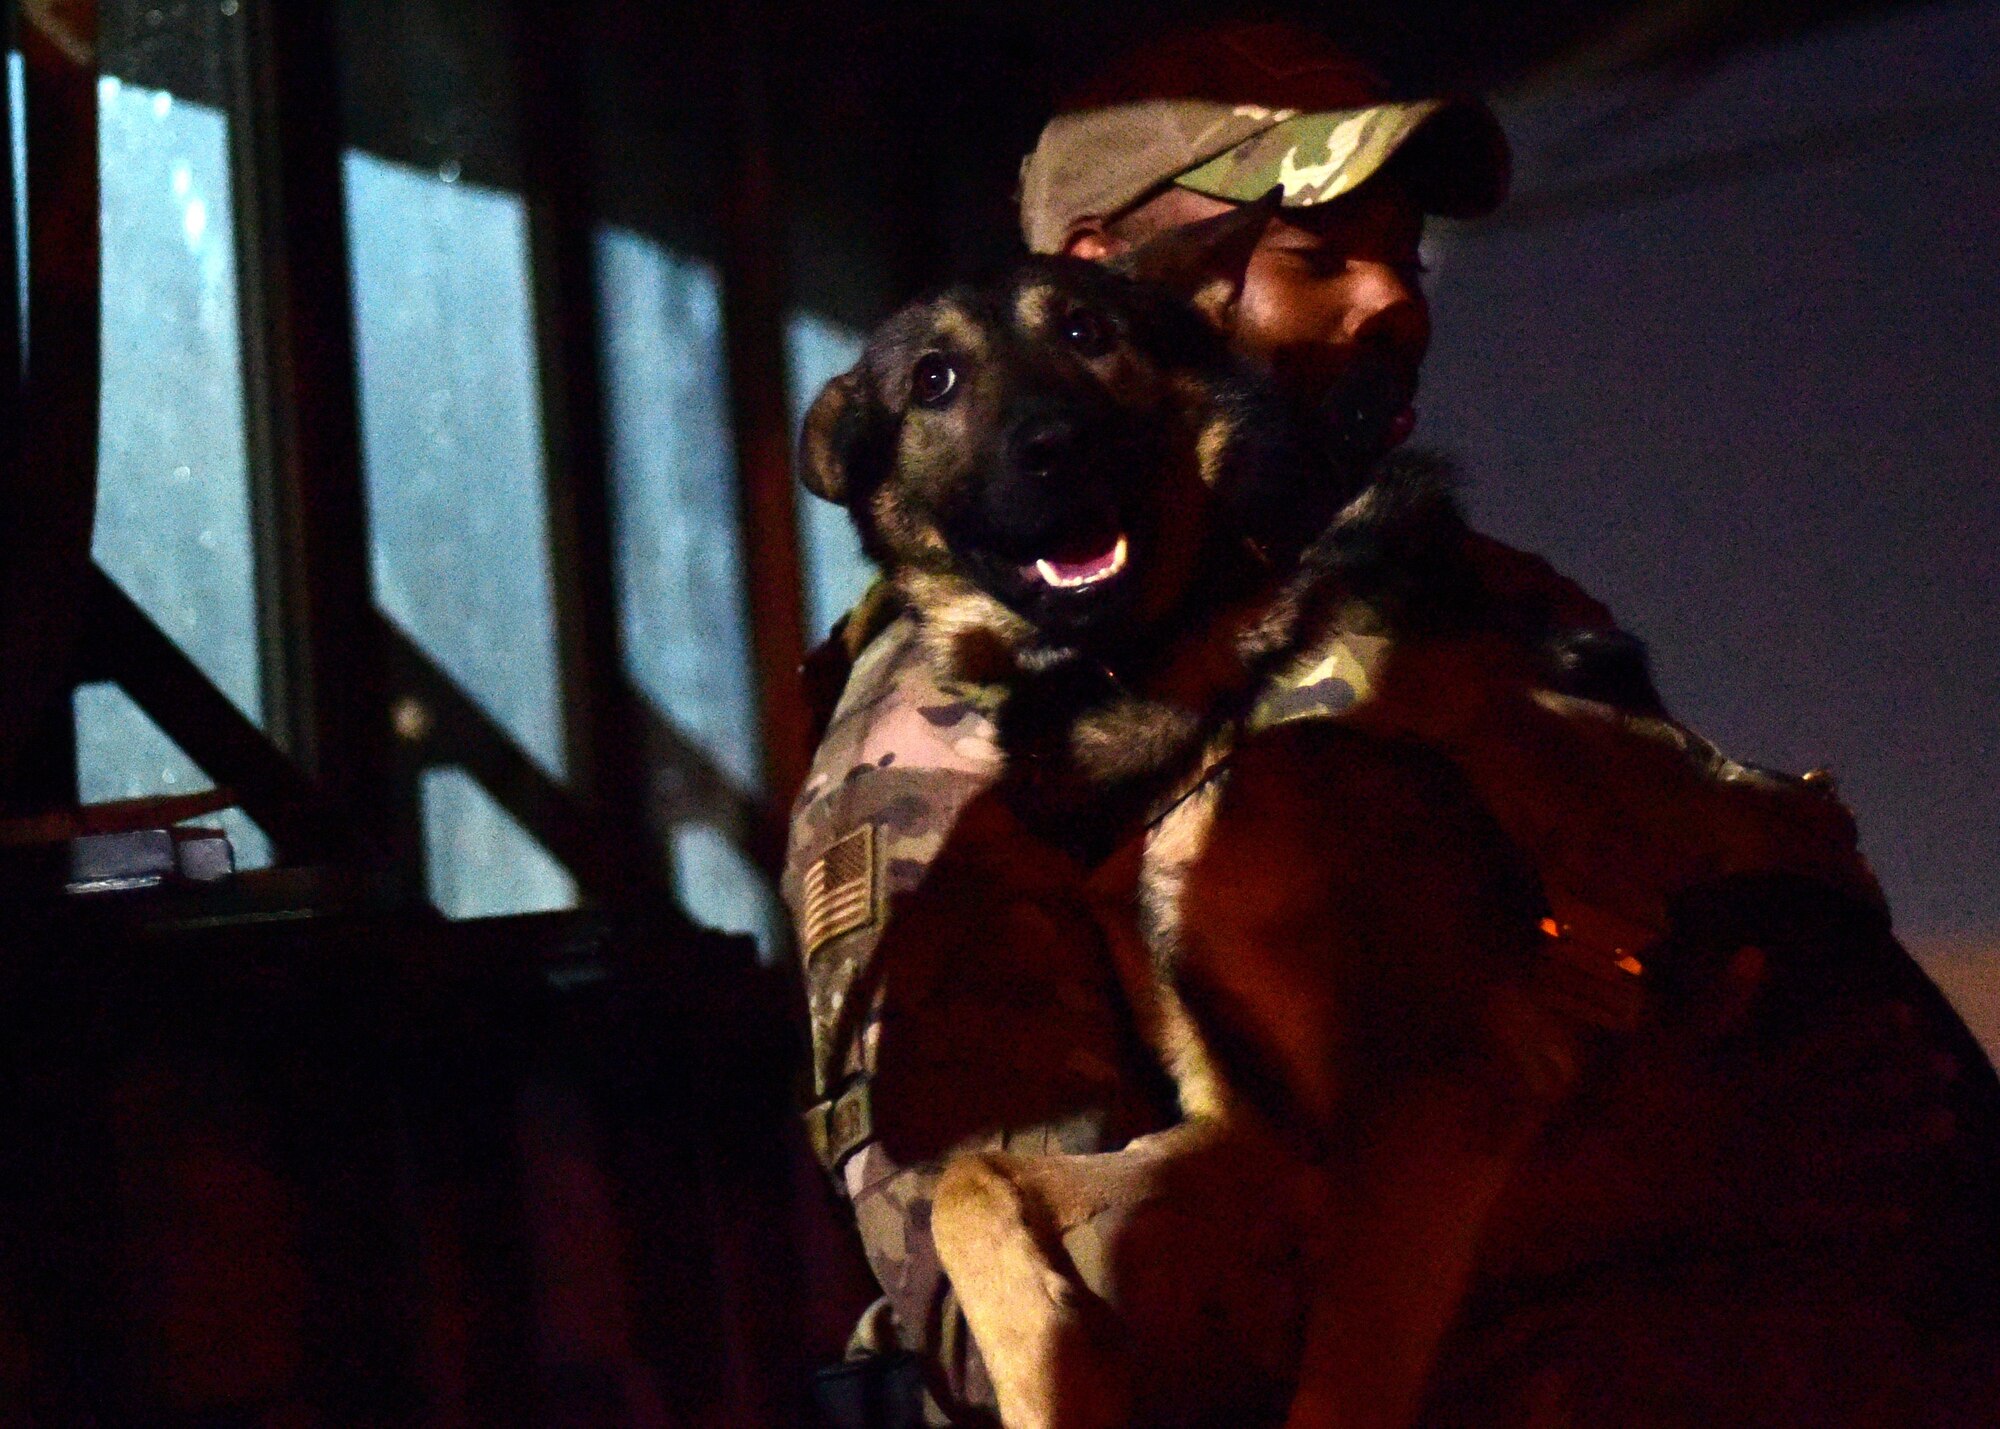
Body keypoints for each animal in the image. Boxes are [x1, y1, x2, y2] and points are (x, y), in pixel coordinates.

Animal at [796, 203, 2000, 1424]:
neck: (1183, 659)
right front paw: (1048, 1369)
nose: (1053, 445)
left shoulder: (1427, 1104)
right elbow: (970, 1177)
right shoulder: (1260, 1136)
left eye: (1088, 330)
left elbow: (1338, 1386)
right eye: (934, 378)